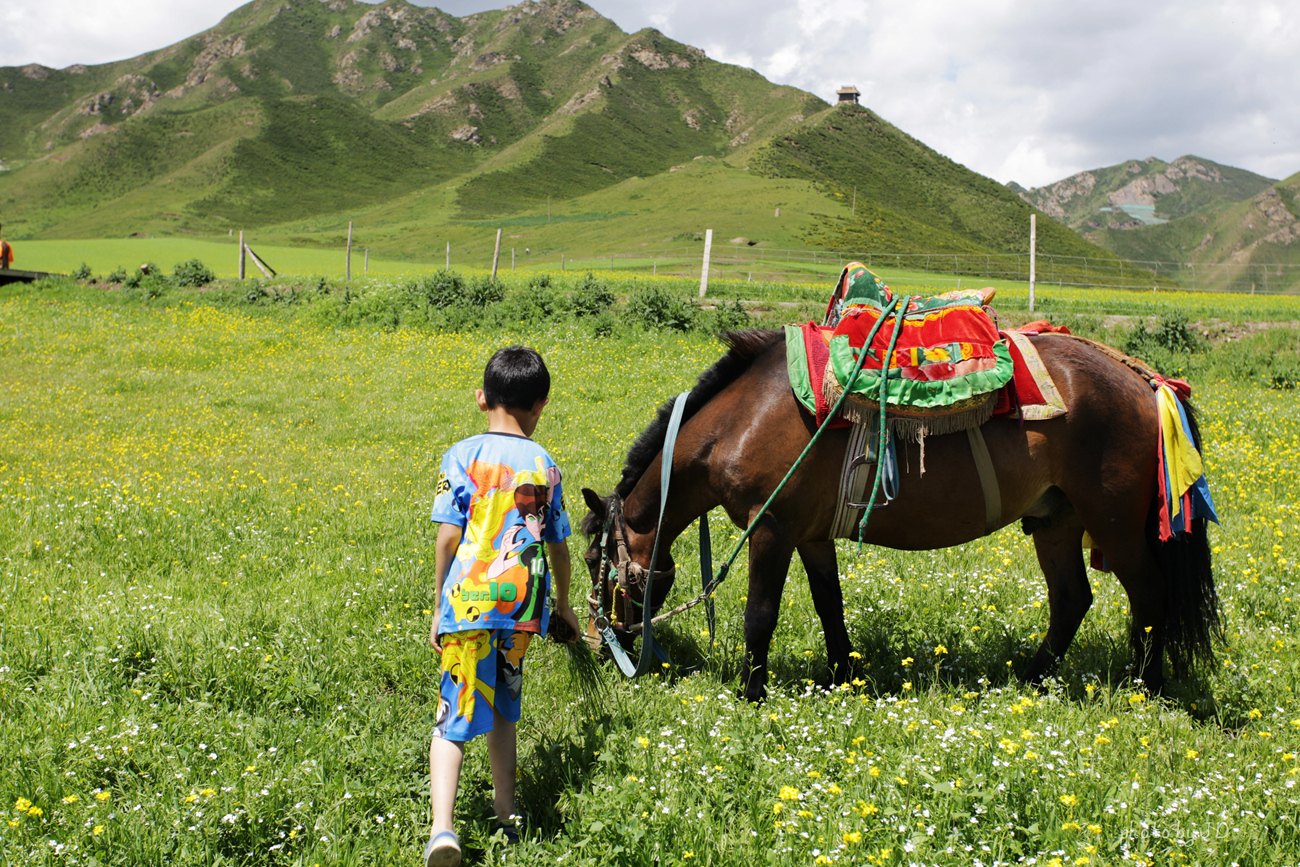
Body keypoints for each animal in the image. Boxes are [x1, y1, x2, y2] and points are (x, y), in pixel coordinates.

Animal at [579, 328, 1216, 701]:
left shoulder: (772, 529)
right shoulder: (811, 536)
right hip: (1057, 521)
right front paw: (844, 676)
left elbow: (759, 616)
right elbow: (830, 606)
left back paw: (1148, 688)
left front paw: (751, 695)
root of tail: (1145, 381)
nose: (604, 642)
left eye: (593, 560)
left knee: (1150, 597)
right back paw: (1031, 679)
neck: (742, 418)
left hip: (1115, 524)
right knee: (1072, 600)